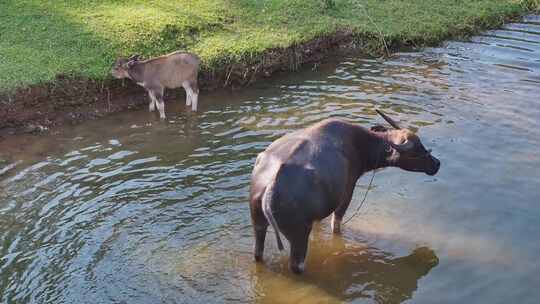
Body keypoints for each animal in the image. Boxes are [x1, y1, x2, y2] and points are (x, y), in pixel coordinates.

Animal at [251, 110, 440, 274]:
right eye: (418, 151)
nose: (437, 164)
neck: (359, 144)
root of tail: (271, 184)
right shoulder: (347, 192)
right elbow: (336, 225)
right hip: (299, 235)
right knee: (296, 266)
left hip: (258, 223)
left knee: (258, 254)